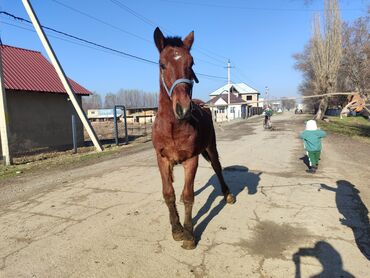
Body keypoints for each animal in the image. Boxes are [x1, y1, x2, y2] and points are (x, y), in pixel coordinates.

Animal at [151, 27, 234, 250]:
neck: (173, 127)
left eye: (192, 63)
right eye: (162, 64)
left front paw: (188, 235)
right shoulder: (162, 159)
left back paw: (228, 194)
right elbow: (168, 194)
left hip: (211, 147)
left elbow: (188, 196)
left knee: (217, 167)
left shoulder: (191, 159)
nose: (183, 108)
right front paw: (176, 229)